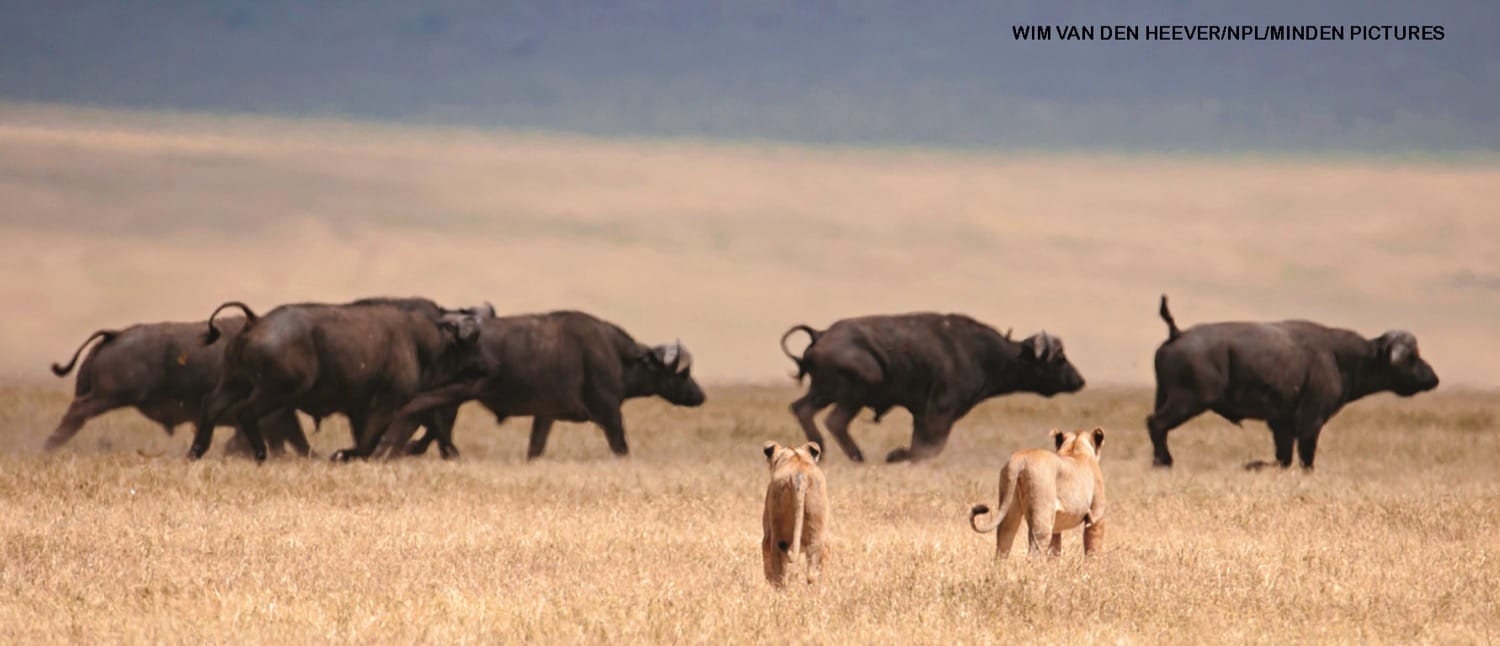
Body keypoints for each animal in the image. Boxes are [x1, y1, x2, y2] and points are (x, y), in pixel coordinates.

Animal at [46, 319, 309, 457]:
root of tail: (115, 335)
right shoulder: (274, 416)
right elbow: (294, 440)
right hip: (109, 396)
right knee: (77, 413)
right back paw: (48, 447)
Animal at [191, 297, 492, 462]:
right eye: (473, 340)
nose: (487, 365)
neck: (419, 340)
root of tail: (256, 321)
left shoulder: (359, 410)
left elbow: (365, 440)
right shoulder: (386, 404)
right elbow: (368, 443)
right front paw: (343, 455)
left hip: (234, 382)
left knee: (211, 405)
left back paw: (196, 451)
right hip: (277, 391)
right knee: (246, 412)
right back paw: (260, 454)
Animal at [365, 310, 706, 460]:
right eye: (683, 373)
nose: (700, 395)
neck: (617, 355)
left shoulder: (545, 416)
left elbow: (535, 448)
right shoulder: (609, 411)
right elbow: (620, 446)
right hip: (452, 393)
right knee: (413, 415)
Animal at [780, 313, 1086, 463]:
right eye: (1059, 359)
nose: (1079, 380)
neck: (984, 354)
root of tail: (821, 334)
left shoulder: (922, 414)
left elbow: (924, 445)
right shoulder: (940, 412)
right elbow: (928, 448)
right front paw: (895, 455)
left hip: (823, 392)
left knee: (803, 410)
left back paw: (824, 449)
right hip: (854, 392)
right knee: (834, 421)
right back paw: (854, 455)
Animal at [1147, 295, 1440, 469]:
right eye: (1412, 357)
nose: (1433, 378)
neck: (1339, 357)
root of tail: (1177, 333)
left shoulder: (1281, 424)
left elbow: (1283, 458)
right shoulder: (1311, 421)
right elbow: (1305, 459)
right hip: (1188, 402)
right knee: (1156, 424)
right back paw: (1165, 462)